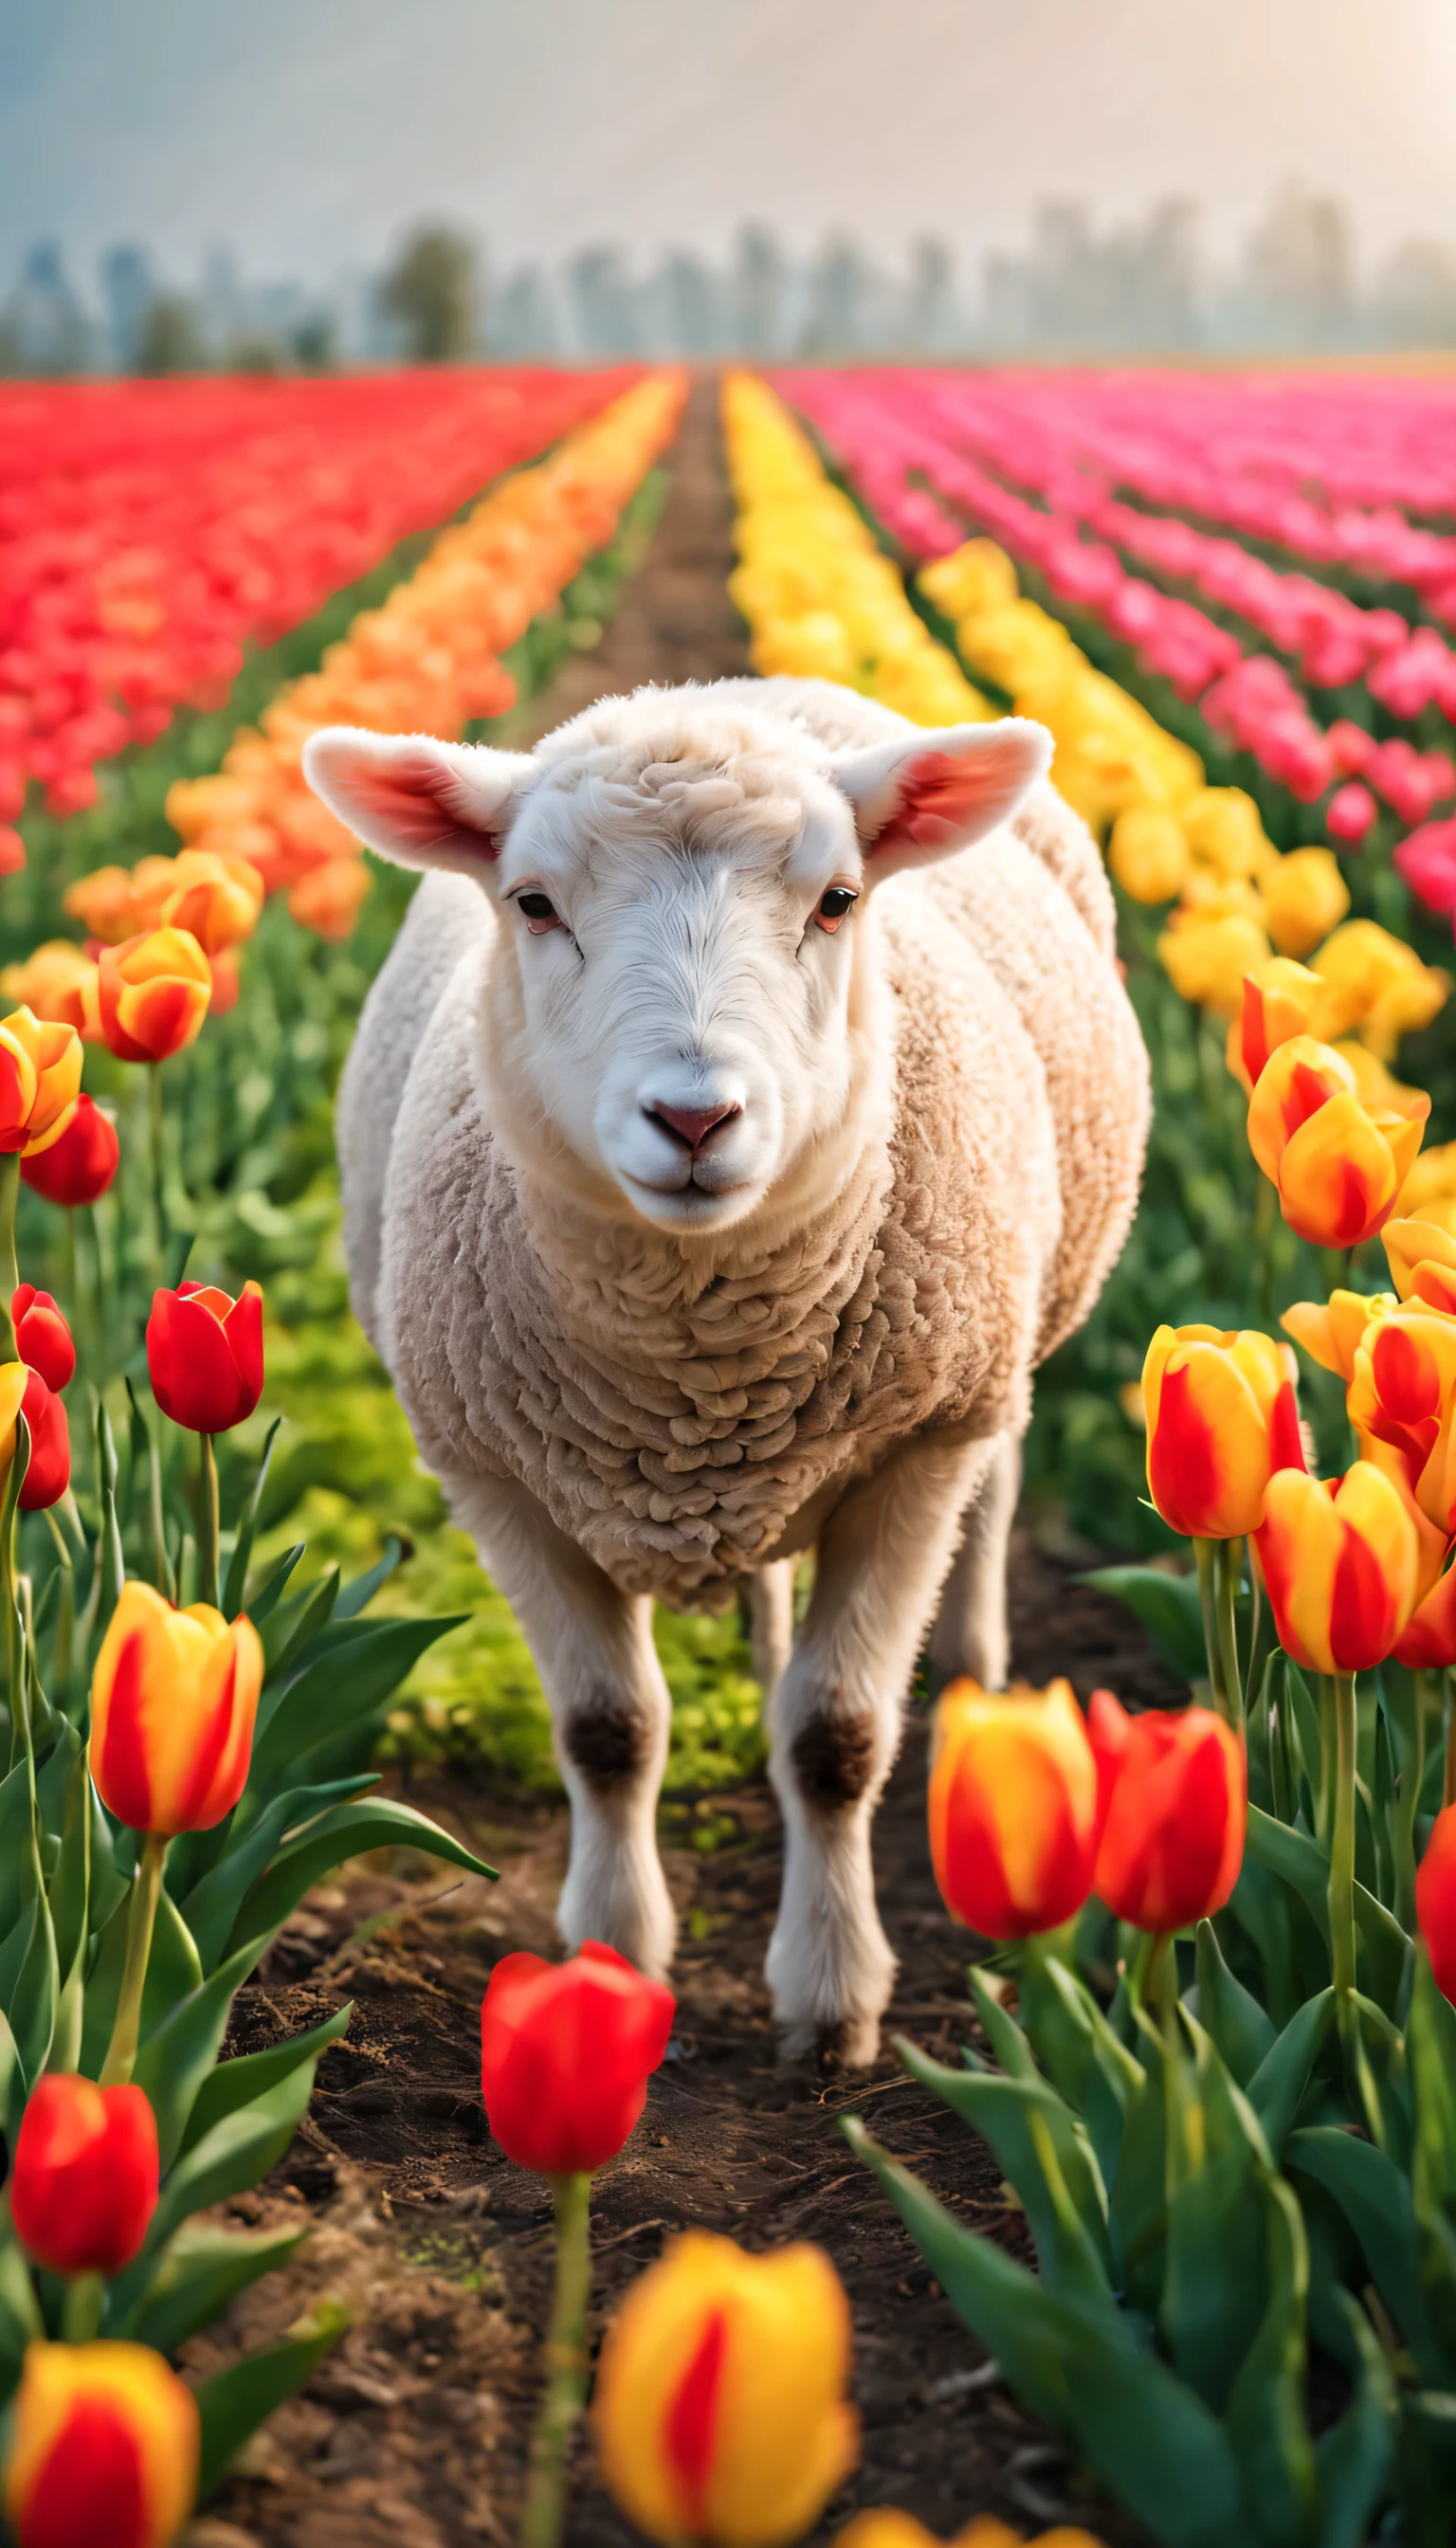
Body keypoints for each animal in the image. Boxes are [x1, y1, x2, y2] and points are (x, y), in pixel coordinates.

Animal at [304, 667, 1152, 2058]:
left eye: (838, 900)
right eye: (533, 903)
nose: (696, 1118)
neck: (695, 1357)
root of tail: (734, 684)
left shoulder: (914, 1452)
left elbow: (838, 1739)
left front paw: (832, 1998)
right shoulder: (494, 1474)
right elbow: (607, 1732)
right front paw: (611, 1951)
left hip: (1003, 1346)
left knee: (995, 1510)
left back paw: (973, 1691)